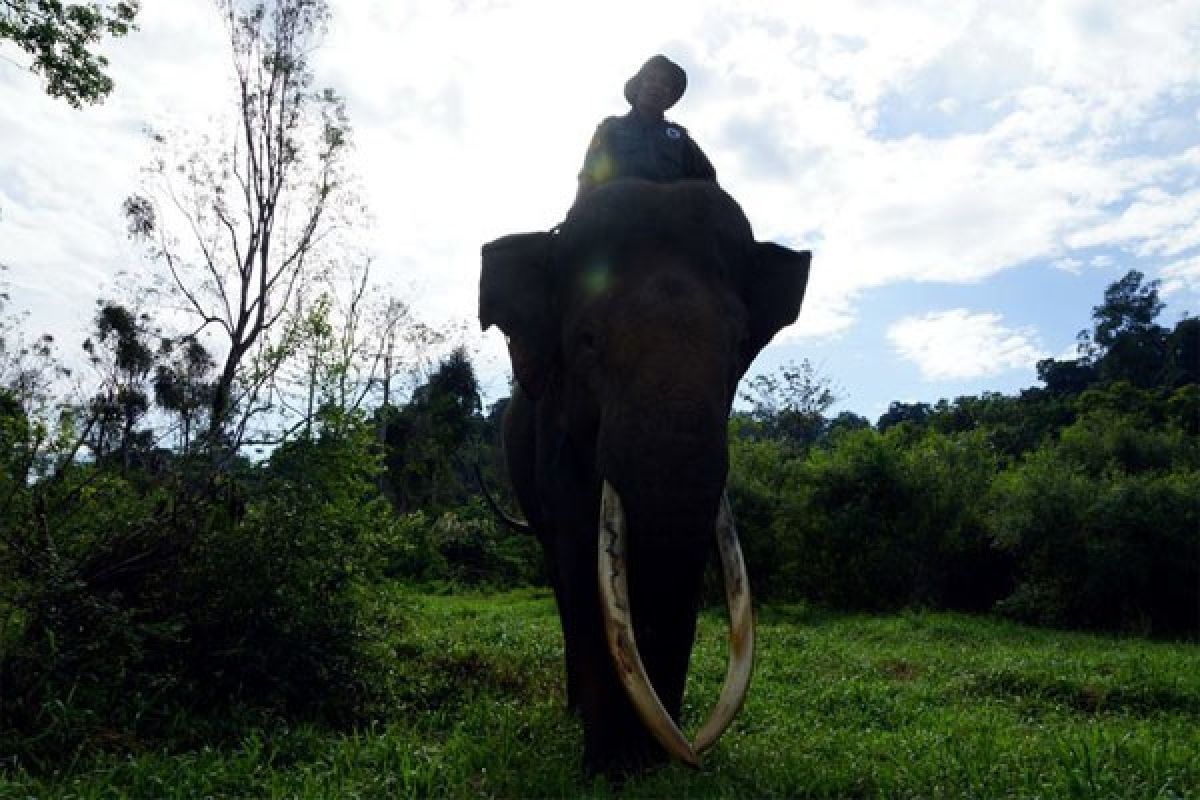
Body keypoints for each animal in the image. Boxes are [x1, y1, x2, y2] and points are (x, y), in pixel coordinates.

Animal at [475, 178, 806, 772]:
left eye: (739, 345)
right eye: (587, 340)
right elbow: (582, 556)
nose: (689, 755)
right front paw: (610, 768)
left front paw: (652, 763)